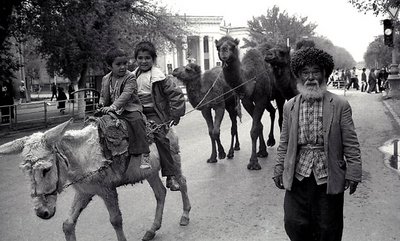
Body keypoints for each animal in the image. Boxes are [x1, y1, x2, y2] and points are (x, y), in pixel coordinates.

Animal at [0, 119, 191, 240]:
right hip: (149, 173)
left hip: (174, 160)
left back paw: (185, 215)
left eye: (45, 169)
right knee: (160, 193)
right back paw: (152, 230)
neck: (82, 158)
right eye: (25, 172)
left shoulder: (107, 190)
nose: (42, 213)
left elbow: (116, 220)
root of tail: (163, 123)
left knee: (182, 182)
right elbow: (67, 224)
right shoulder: (84, 191)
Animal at [214, 36, 286, 171]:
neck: (250, 77)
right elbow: (259, 125)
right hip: (268, 99)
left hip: (279, 95)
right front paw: (262, 152)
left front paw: (253, 163)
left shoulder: (261, 99)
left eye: (233, 46)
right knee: (272, 111)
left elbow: (254, 129)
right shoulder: (246, 101)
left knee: (281, 118)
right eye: (218, 46)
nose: (224, 51)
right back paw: (270, 141)